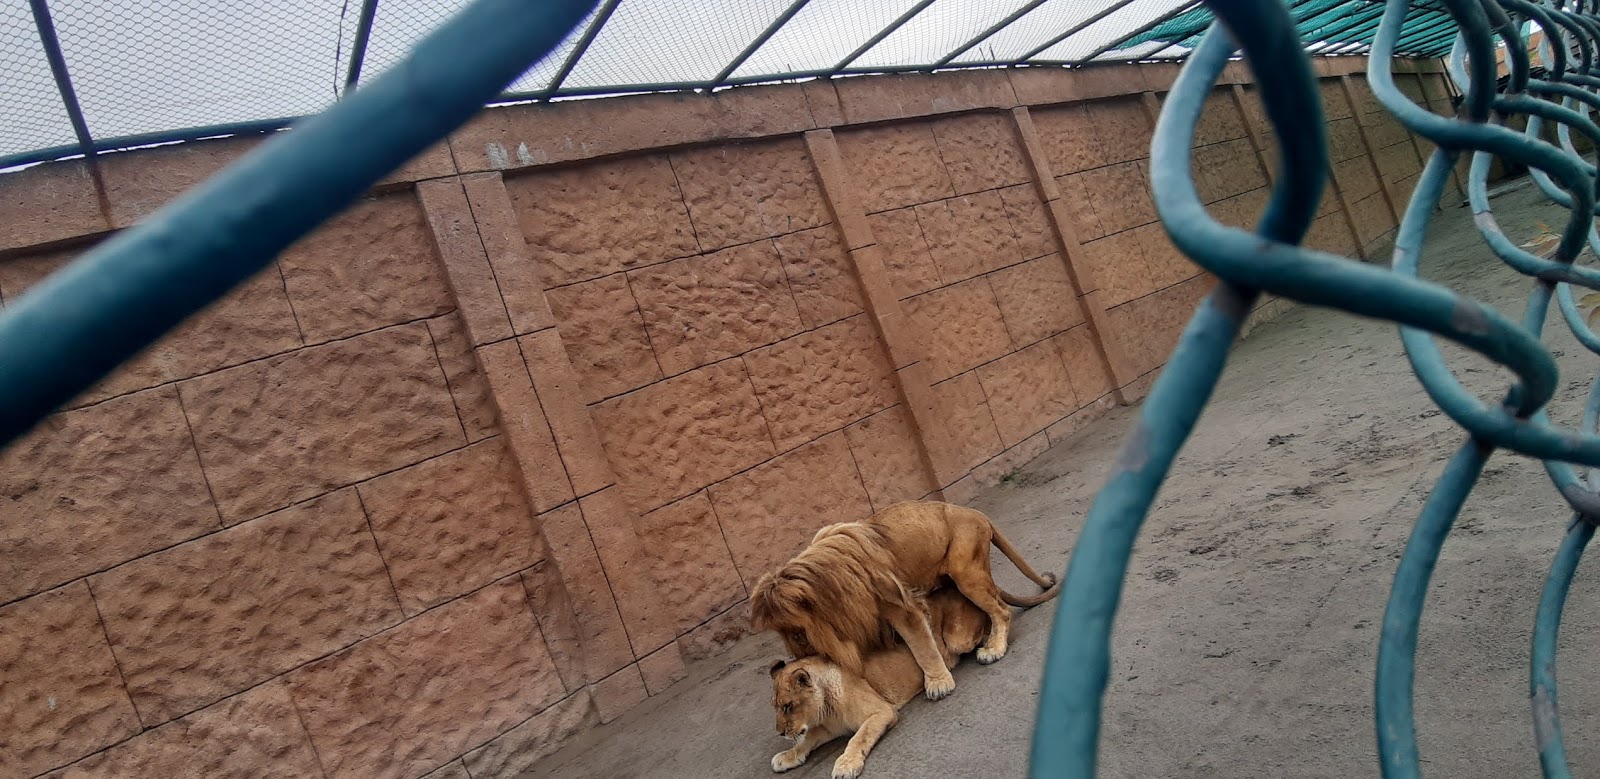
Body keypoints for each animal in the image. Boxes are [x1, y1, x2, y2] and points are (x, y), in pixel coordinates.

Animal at [749, 500, 1059, 702]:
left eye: (797, 634)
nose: (799, 658)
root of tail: (975, 512)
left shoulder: (900, 606)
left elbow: (922, 646)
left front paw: (938, 684)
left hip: (966, 572)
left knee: (1001, 610)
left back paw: (993, 648)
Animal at [767, 587, 991, 779]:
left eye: (788, 706)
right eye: (776, 707)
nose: (779, 733)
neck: (827, 711)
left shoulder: (881, 712)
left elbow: (858, 738)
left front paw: (846, 764)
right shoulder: (828, 729)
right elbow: (807, 740)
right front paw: (787, 756)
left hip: (958, 639)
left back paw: (989, 650)